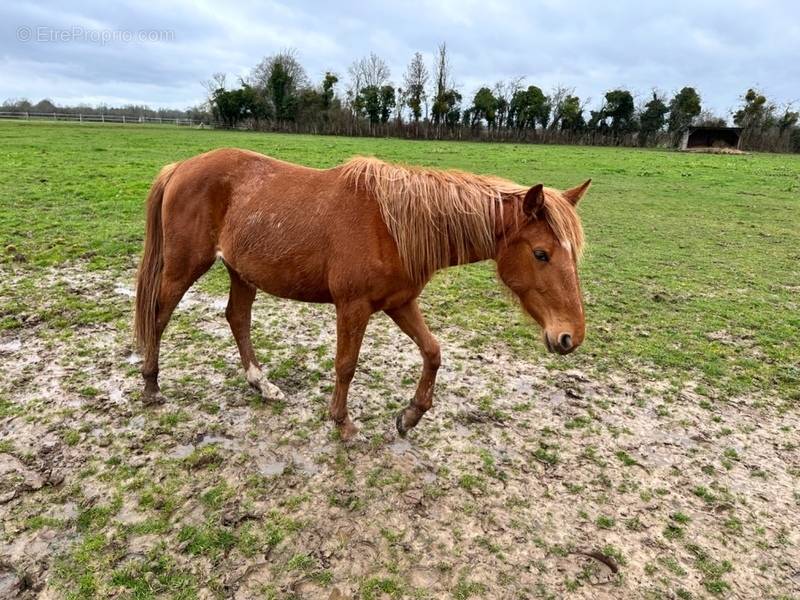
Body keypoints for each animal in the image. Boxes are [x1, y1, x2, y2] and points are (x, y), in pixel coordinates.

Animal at [134, 149, 592, 440]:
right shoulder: (352, 307)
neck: (392, 225)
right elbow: (346, 365)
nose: (570, 336)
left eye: (574, 253)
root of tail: (180, 167)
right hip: (184, 267)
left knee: (237, 318)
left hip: (241, 272)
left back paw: (262, 385)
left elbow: (433, 352)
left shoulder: (399, 303)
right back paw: (151, 387)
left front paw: (410, 416)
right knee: (158, 315)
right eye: (541, 253)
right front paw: (342, 422)